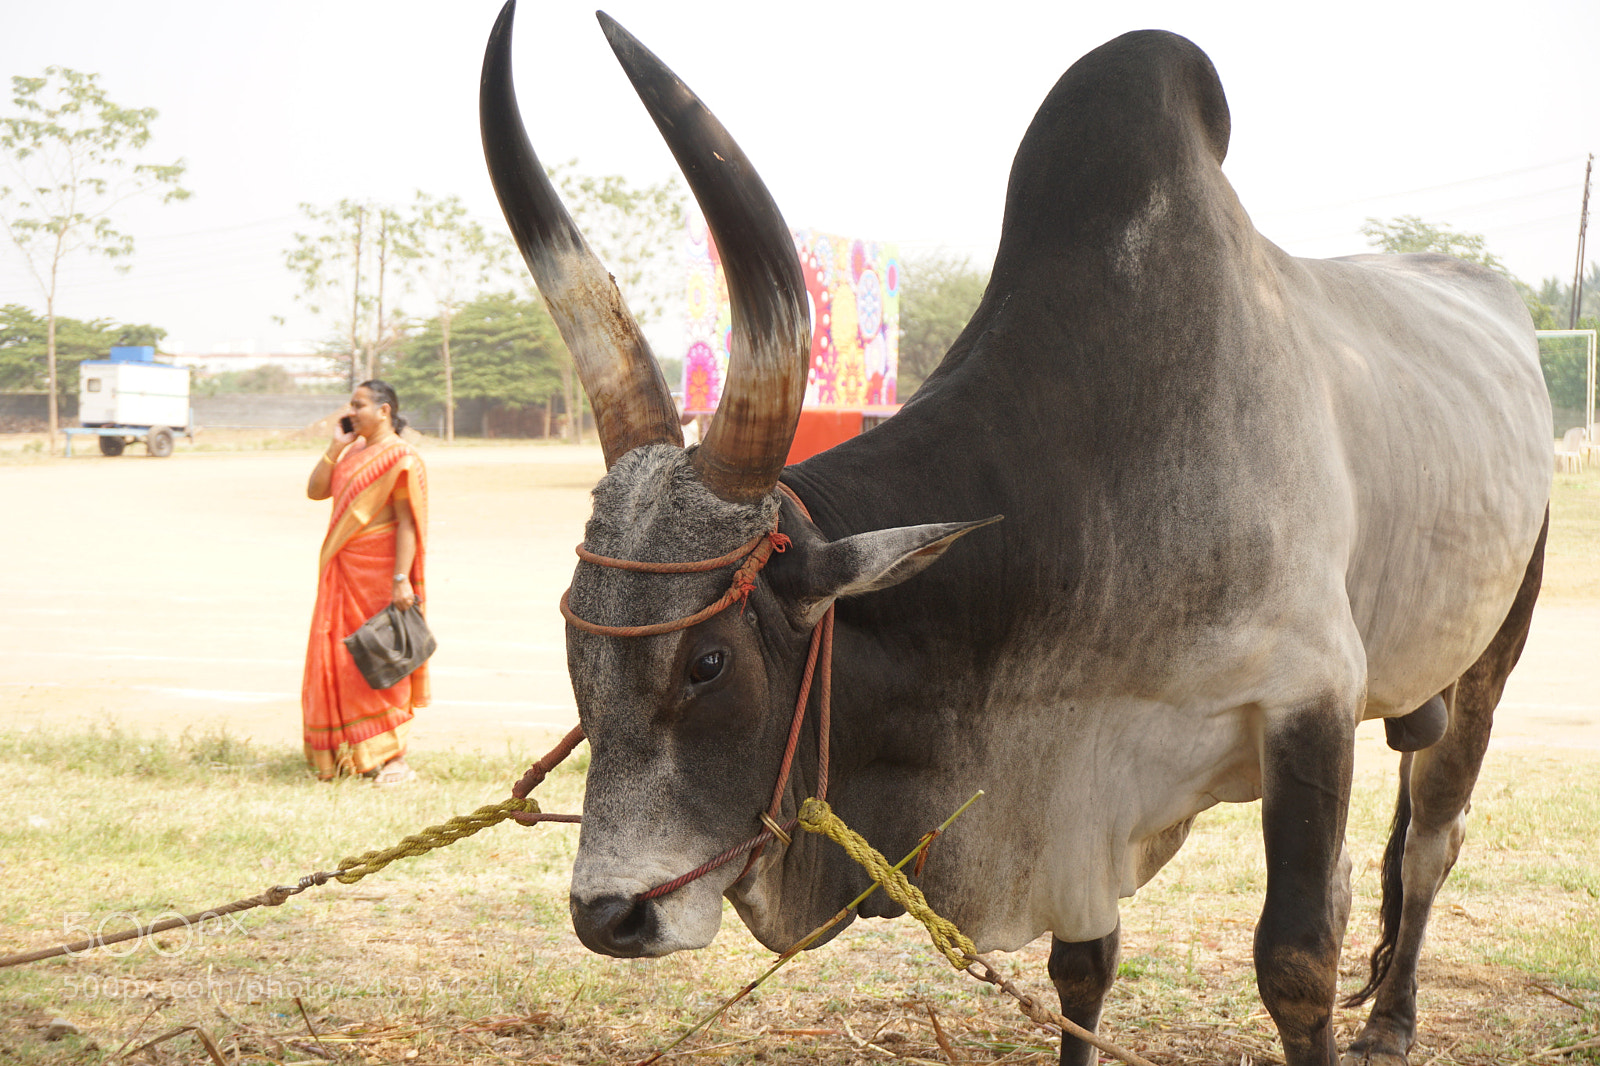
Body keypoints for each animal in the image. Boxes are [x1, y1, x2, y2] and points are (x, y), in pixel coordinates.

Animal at [478, 5, 1552, 1065]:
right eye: (575, 639)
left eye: (708, 661)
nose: (607, 915)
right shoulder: (1078, 788)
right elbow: (1082, 966)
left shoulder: (1311, 702)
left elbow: (1295, 963)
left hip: (1492, 652)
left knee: (1431, 844)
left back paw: (1392, 1022)